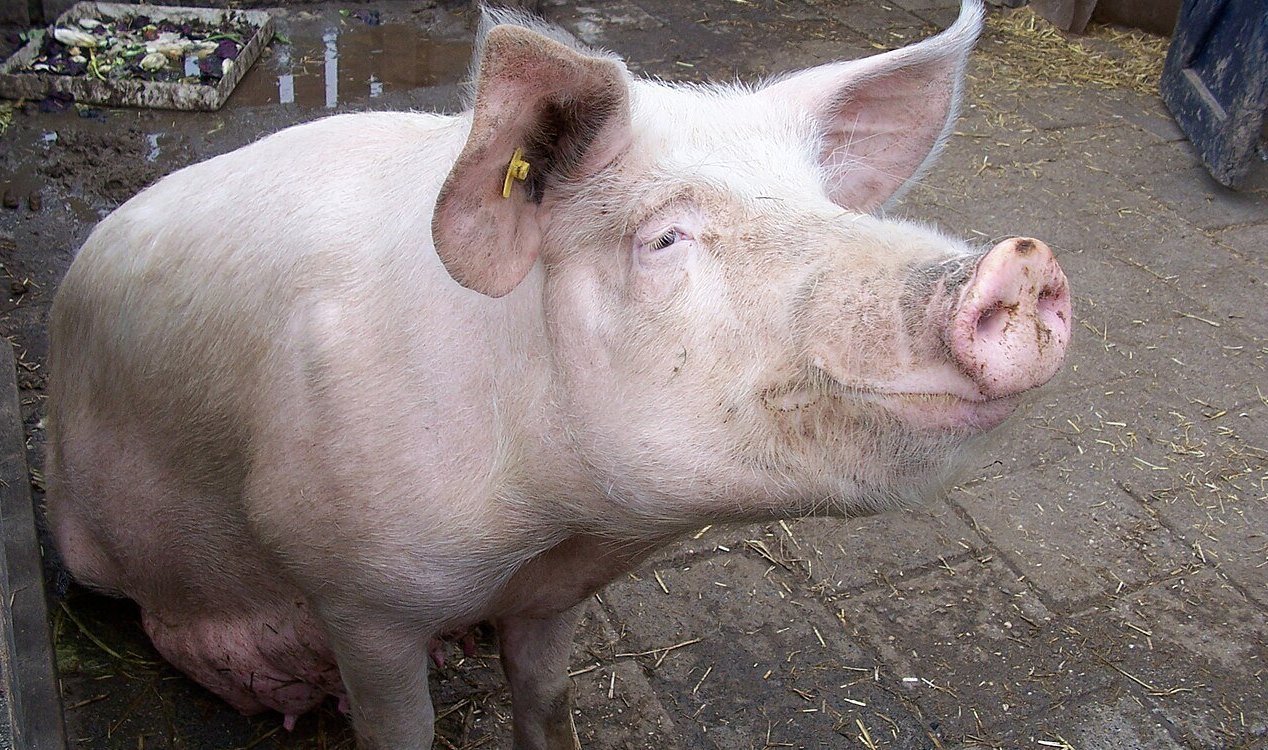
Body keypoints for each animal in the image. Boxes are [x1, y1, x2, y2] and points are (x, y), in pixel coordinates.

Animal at [44, 1, 1071, 747]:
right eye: (664, 237)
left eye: (823, 201)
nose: (1022, 262)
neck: (547, 526)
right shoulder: (359, 594)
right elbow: (401, 729)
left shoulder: (550, 598)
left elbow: (546, 700)